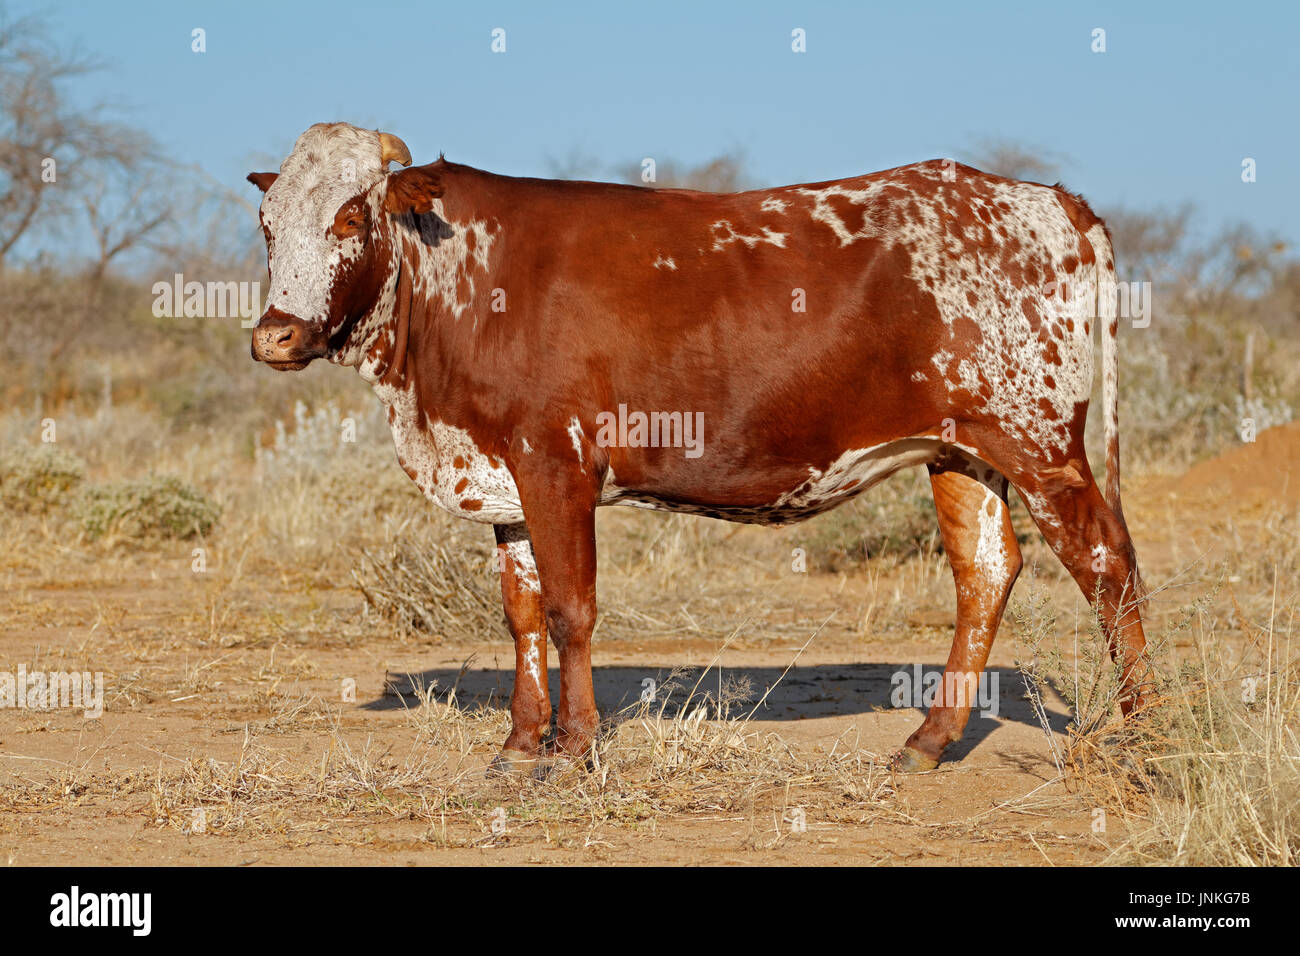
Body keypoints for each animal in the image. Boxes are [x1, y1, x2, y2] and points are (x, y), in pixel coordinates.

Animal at [247, 122, 1150, 776]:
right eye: (265, 224)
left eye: (350, 215)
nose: (273, 336)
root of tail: (1046, 197)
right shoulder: (501, 476)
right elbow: (522, 614)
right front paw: (517, 744)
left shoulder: (555, 462)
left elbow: (571, 609)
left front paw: (569, 751)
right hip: (961, 448)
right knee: (988, 572)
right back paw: (927, 743)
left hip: (1039, 437)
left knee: (1108, 561)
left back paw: (1143, 732)